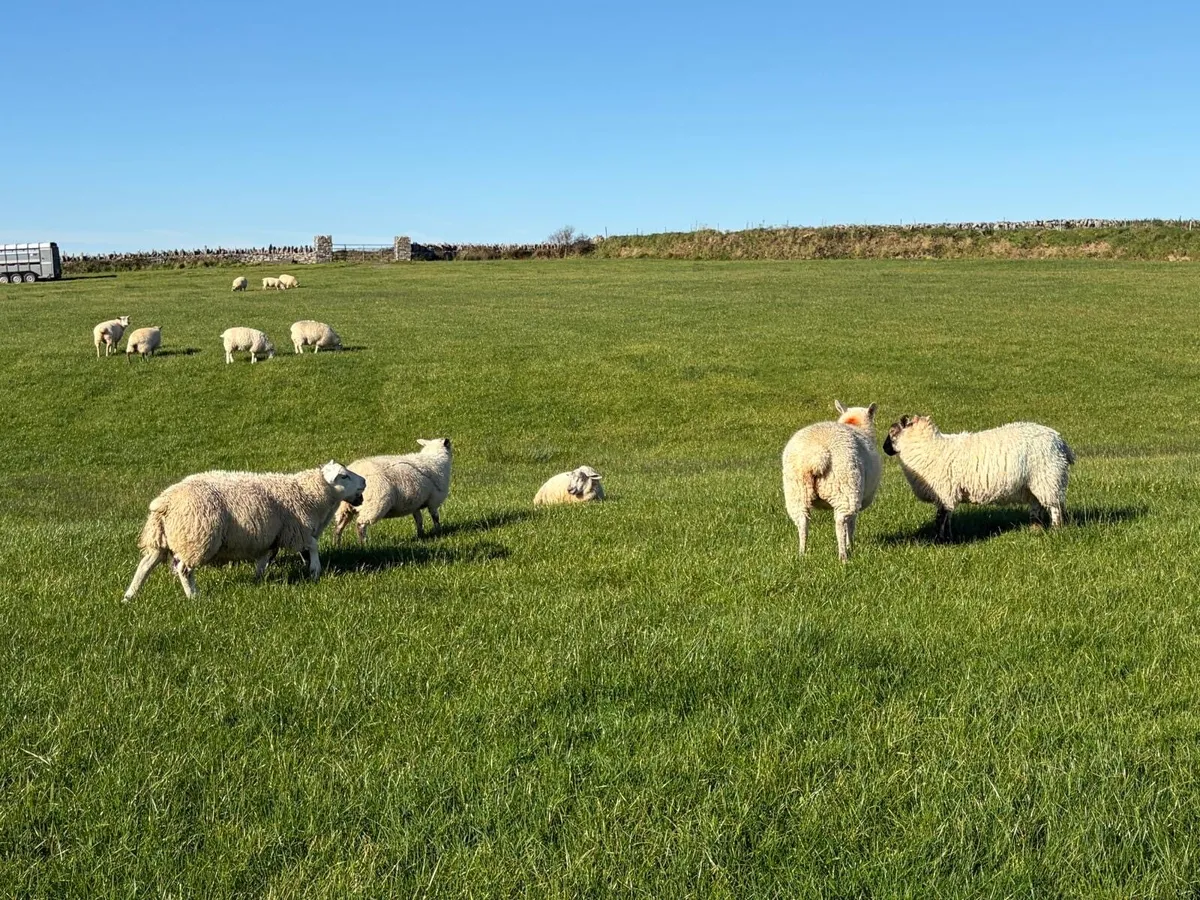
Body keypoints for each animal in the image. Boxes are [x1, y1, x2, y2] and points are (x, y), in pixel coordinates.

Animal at [123, 461, 367, 600]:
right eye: (344, 476)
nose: (364, 481)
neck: (309, 494)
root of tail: (165, 501)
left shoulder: (272, 535)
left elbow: (265, 557)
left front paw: (258, 578)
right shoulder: (295, 529)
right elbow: (313, 546)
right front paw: (315, 571)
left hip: (160, 539)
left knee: (145, 566)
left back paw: (129, 596)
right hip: (197, 539)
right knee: (184, 569)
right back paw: (194, 597)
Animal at [781, 401, 882, 562]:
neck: (854, 424)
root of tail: (816, 455)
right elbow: (851, 525)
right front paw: (851, 545)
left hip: (797, 491)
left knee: (802, 522)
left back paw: (802, 553)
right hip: (845, 489)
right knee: (841, 522)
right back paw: (843, 556)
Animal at [882, 415, 1076, 540]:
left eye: (891, 432)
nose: (884, 449)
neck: (930, 447)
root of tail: (1060, 442)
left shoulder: (944, 492)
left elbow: (941, 518)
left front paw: (940, 540)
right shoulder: (948, 494)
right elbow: (948, 517)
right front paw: (949, 537)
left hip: (1048, 478)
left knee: (1055, 508)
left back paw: (1056, 530)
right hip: (1033, 484)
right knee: (1037, 507)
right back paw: (1035, 530)